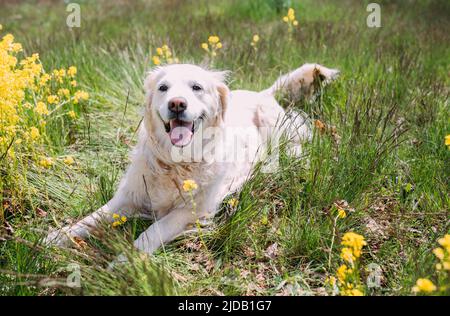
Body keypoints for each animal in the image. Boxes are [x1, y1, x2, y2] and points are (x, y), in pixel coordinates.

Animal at [44, 62, 338, 260]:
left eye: (196, 87)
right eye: (163, 88)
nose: (176, 104)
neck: (176, 163)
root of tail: (261, 93)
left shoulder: (194, 210)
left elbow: (154, 230)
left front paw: (128, 260)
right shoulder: (128, 197)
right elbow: (91, 218)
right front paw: (54, 237)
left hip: (277, 130)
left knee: (292, 151)